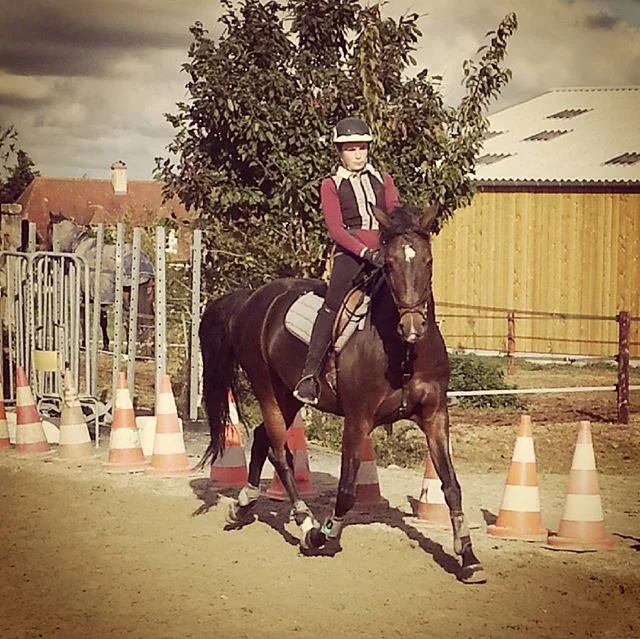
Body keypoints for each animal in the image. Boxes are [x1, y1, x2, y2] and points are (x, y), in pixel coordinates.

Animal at [42, 212, 155, 351]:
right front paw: (105, 345)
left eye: (49, 228)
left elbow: (83, 319)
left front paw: (84, 344)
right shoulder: (100, 300)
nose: (44, 246)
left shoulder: (83, 298)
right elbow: (103, 321)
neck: (77, 246)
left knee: (130, 322)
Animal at [198, 202, 485, 584]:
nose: (412, 327)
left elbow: (451, 486)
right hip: (267, 389)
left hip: (289, 396)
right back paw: (304, 522)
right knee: (279, 453)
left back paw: (244, 504)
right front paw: (322, 535)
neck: (402, 353)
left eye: (428, 261)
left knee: (262, 439)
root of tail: (252, 298)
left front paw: (468, 557)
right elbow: (347, 492)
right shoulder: (357, 419)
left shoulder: (435, 415)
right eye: (388, 264)